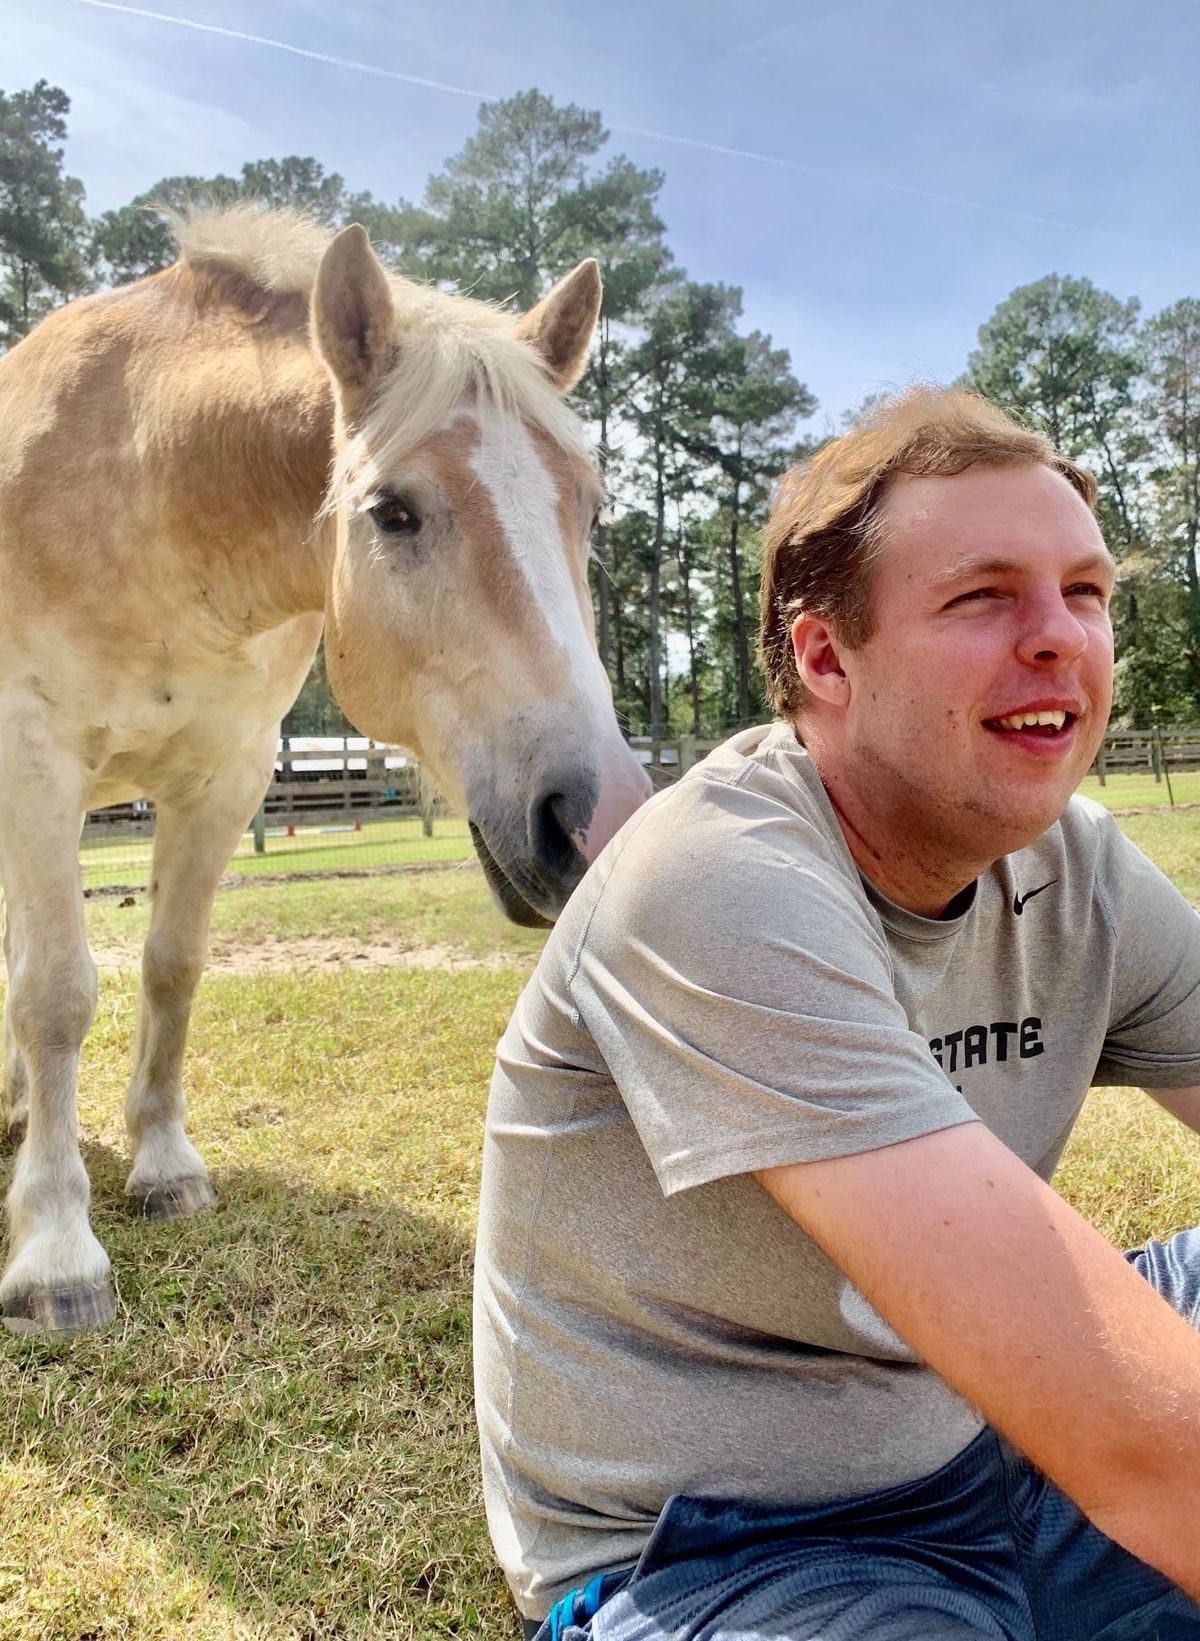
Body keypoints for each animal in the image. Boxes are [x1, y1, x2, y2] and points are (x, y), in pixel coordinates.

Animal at [0, 205, 653, 1332]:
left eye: (591, 507)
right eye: (392, 510)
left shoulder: (225, 775)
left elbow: (173, 966)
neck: (145, 477)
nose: (595, 815)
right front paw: (54, 1247)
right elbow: (54, 993)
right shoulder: (34, 758)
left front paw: (163, 1165)